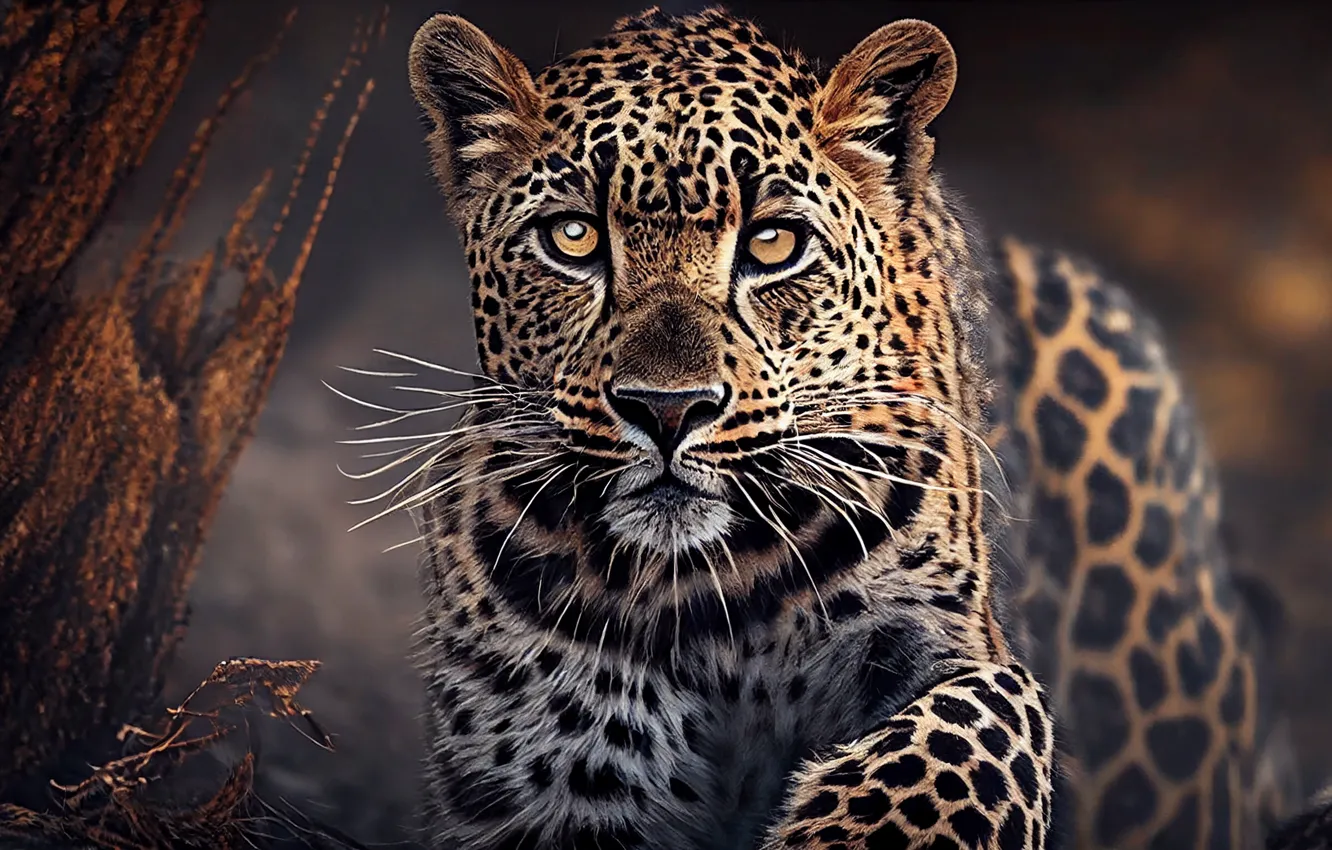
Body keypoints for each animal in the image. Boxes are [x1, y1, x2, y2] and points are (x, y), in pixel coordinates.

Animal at [399, 6, 1312, 848]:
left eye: (773, 243)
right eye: (573, 237)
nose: (668, 408)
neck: (704, 596)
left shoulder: (950, 637)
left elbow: (990, 713)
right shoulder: (546, 752)